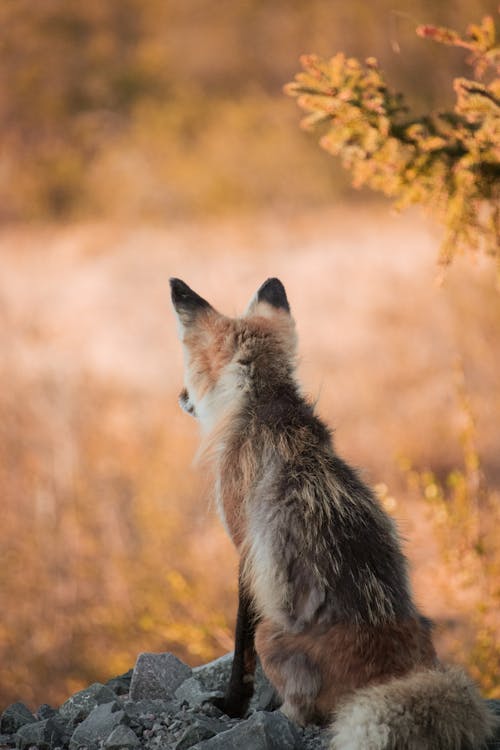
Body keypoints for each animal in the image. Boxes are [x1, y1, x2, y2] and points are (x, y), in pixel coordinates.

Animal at [169, 278, 496, 750]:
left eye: (189, 363)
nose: (178, 397)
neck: (266, 405)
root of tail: (393, 674)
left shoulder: (244, 551)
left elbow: (240, 655)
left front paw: (232, 706)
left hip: (271, 634)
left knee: (305, 711)